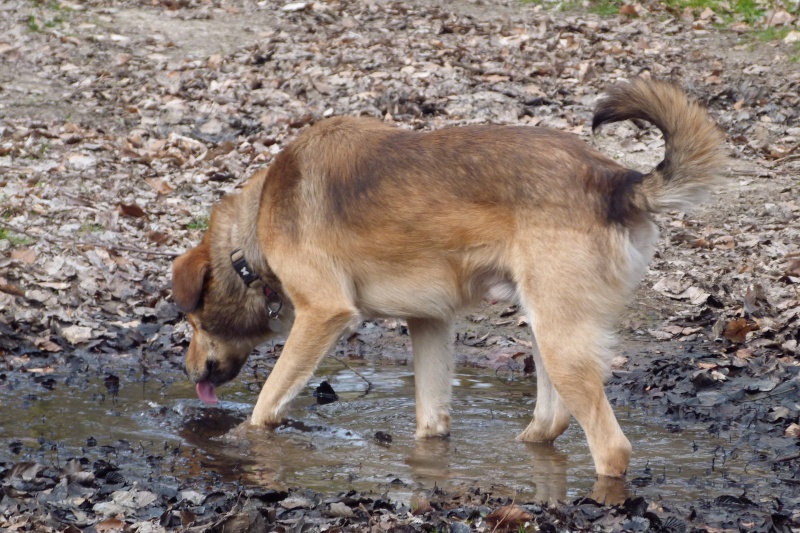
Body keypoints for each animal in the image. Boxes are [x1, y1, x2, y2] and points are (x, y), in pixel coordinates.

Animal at [172, 78, 728, 478]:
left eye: (192, 321)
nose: (189, 371)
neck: (252, 234)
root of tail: (619, 181)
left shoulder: (323, 314)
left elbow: (266, 406)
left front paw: (239, 440)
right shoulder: (430, 324)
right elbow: (431, 420)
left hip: (561, 340)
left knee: (611, 448)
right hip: (544, 325)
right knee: (552, 419)